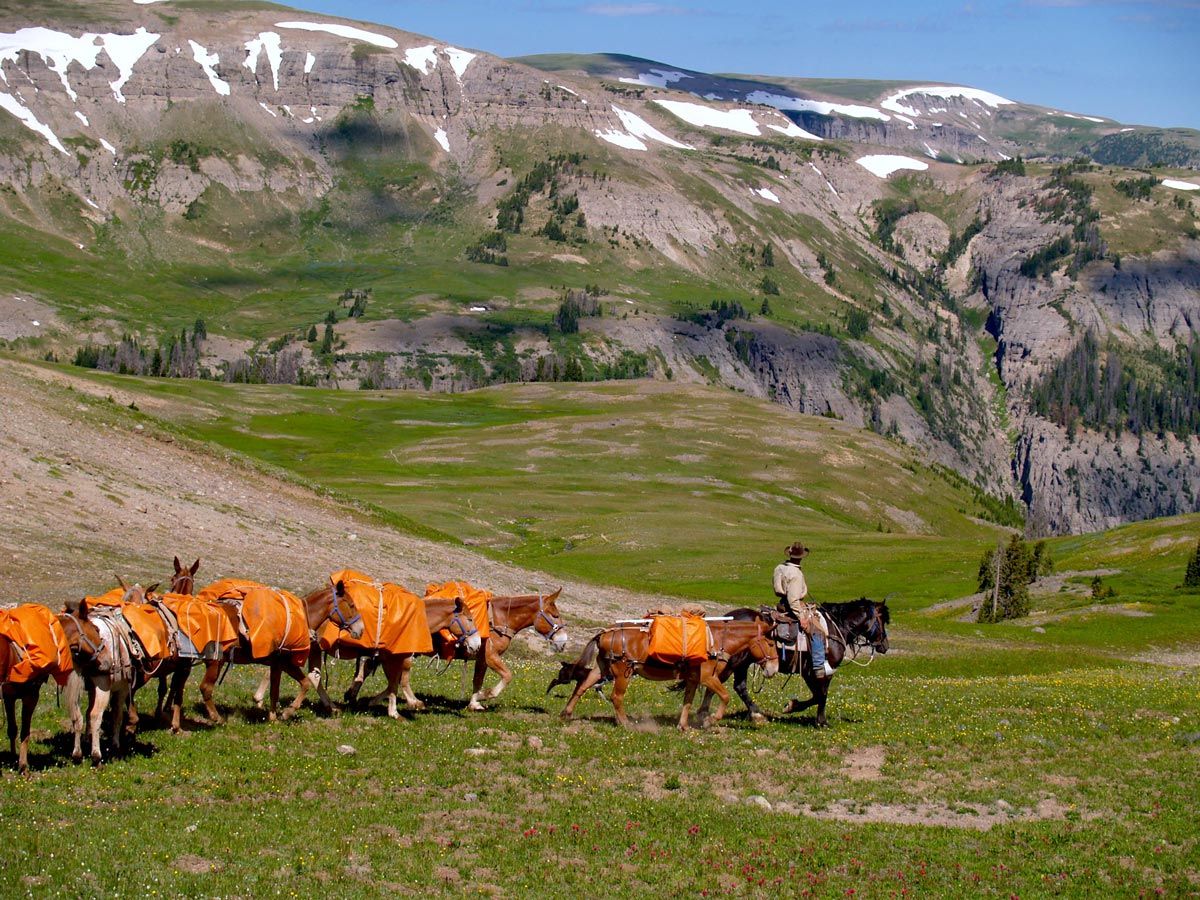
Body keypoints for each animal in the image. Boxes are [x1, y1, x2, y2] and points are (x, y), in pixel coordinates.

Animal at [550, 618, 779, 730]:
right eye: (770, 643)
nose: (774, 669)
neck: (716, 641)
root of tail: (604, 633)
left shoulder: (693, 679)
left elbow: (687, 702)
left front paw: (683, 725)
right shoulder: (707, 678)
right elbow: (725, 696)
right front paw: (710, 721)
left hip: (602, 668)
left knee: (582, 685)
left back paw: (566, 714)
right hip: (623, 672)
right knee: (616, 697)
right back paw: (625, 723)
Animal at [702, 598, 890, 727]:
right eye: (882, 620)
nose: (885, 646)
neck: (835, 628)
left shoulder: (811, 672)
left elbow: (817, 695)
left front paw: (794, 707)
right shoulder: (820, 670)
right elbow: (821, 695)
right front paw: (819, 720)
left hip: (742, 664)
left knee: (736, 686)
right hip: (734, 663)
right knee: (719, 683)